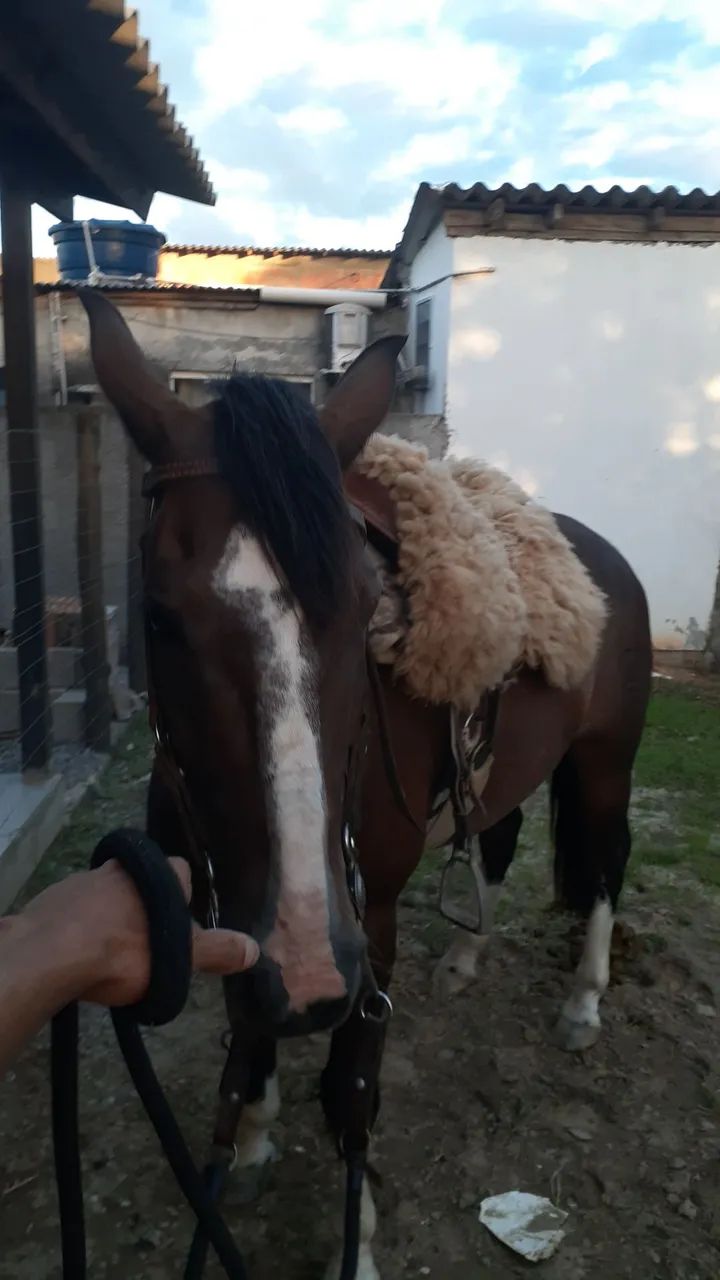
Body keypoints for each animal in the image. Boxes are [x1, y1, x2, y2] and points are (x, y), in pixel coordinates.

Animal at [79, 289, 652, 1280]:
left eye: (366, 606)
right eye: (158, 616)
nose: (312, 964)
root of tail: (601, 555)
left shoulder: (366, 926)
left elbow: (351, 1089)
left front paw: (358, 1246)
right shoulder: (236, 919)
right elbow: (249, 1040)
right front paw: (253, 1140)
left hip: (604, 763)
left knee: (607, 860)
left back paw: (584, 998)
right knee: (497, 838)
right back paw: (465, 959)